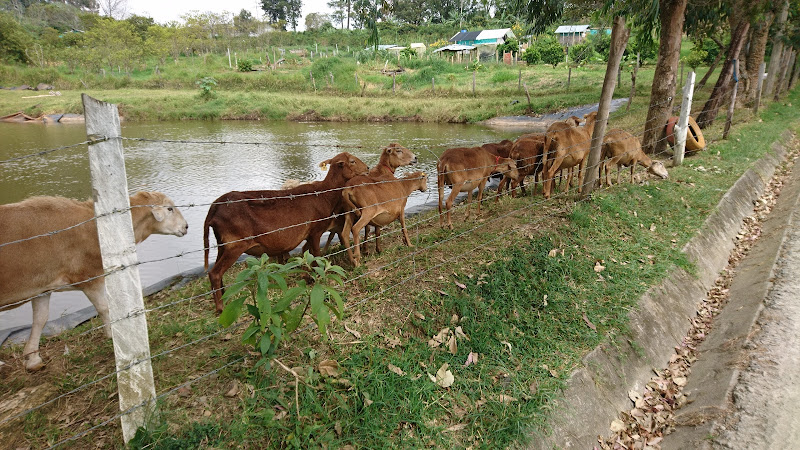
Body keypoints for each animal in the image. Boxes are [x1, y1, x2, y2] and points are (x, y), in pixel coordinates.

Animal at [0, 190, 188, 370]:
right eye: (169, 209)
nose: (186, 226)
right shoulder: (90, 277)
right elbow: (104, 308)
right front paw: (114, 335)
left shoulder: (42, 287)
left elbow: (40, 319)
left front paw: (33, 360)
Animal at [206, 151, 368, 312]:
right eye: (352, 161)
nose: (367, 168)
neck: (324, 194)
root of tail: (214, 208)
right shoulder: (315, 231)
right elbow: (316, 255)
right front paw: (318, 277)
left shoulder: (308, 235)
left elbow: (307, 254)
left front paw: (307, 277)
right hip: (235, 244)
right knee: (215, 273)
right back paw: (220, 307)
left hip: (222, 244)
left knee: (215, 271)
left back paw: (224, 294)